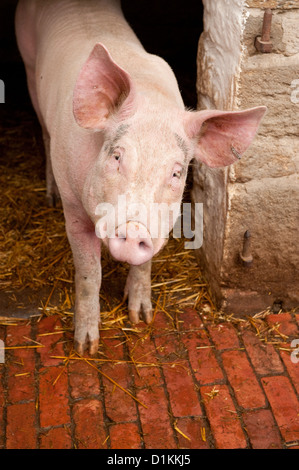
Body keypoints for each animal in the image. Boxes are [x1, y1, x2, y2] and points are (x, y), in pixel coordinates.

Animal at [15, 0, 266, 352]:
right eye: (117, 156)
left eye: (176, 172)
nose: (134, 230)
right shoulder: (74, 210)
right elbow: (90, 273)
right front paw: (86, 347)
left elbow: (144, 264)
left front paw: (142, 318)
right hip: (28, 64)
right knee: (44, 130)